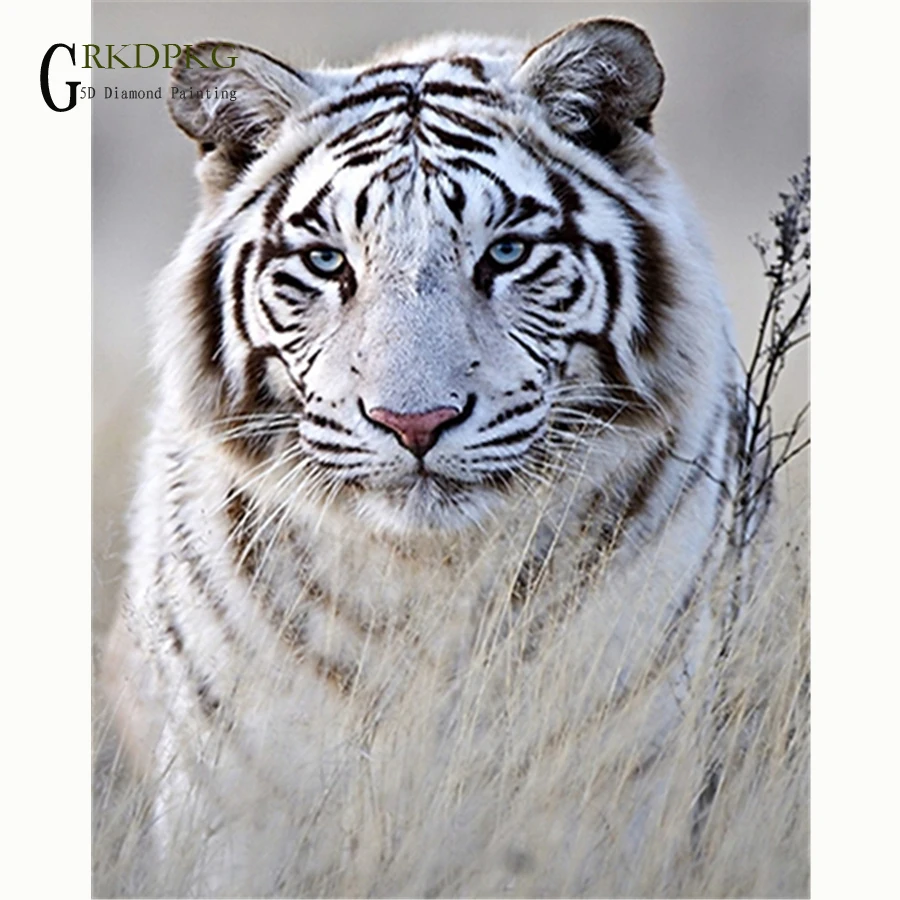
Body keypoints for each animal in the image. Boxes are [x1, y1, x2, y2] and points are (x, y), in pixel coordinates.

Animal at [100, 17, 770, 896]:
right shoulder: (241, 801)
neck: (432, 586)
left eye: (507, 253)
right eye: (327, 262)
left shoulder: (616, 785)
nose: (414, 422)